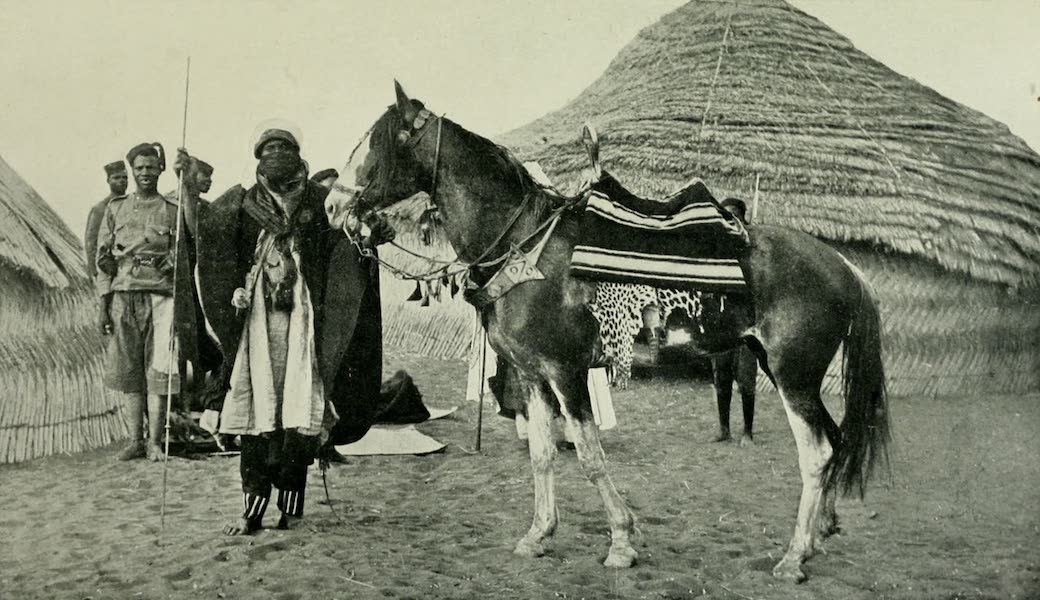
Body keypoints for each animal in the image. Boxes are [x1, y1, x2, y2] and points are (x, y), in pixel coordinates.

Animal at [326, 82, 894, 582]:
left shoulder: (566, 372)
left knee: (817, 453)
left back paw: (794, 559)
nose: (332, 205)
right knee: (835, 438)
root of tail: (845, 268)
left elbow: (590, 455)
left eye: (383, 143)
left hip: (792, 375)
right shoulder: (533, 377)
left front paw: (621, 541)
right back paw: (819, 535)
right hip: (789, 374)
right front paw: (538, 534)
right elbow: (542, 454)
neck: (524, 244)